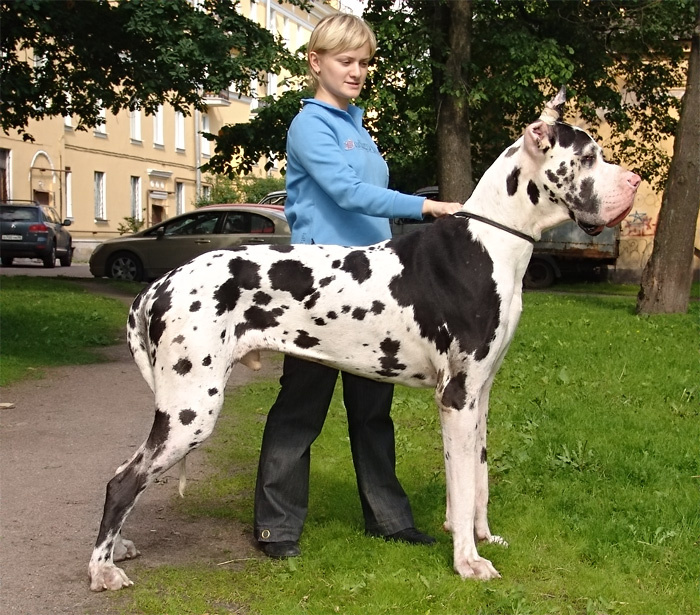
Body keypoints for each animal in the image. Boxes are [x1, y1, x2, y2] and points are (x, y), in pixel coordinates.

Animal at [87, 89, 640, 588]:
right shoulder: (456, 398)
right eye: (588, 157)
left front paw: (482, 537)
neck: (488, 243)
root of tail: (158, 285)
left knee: (126, 472)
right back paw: (102, 569)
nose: (635, 180)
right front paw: (467, 561)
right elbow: (462, 487)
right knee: (121, 481)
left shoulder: (479, 394)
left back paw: (120, 547)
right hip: (191, 408)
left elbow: (477, 479)